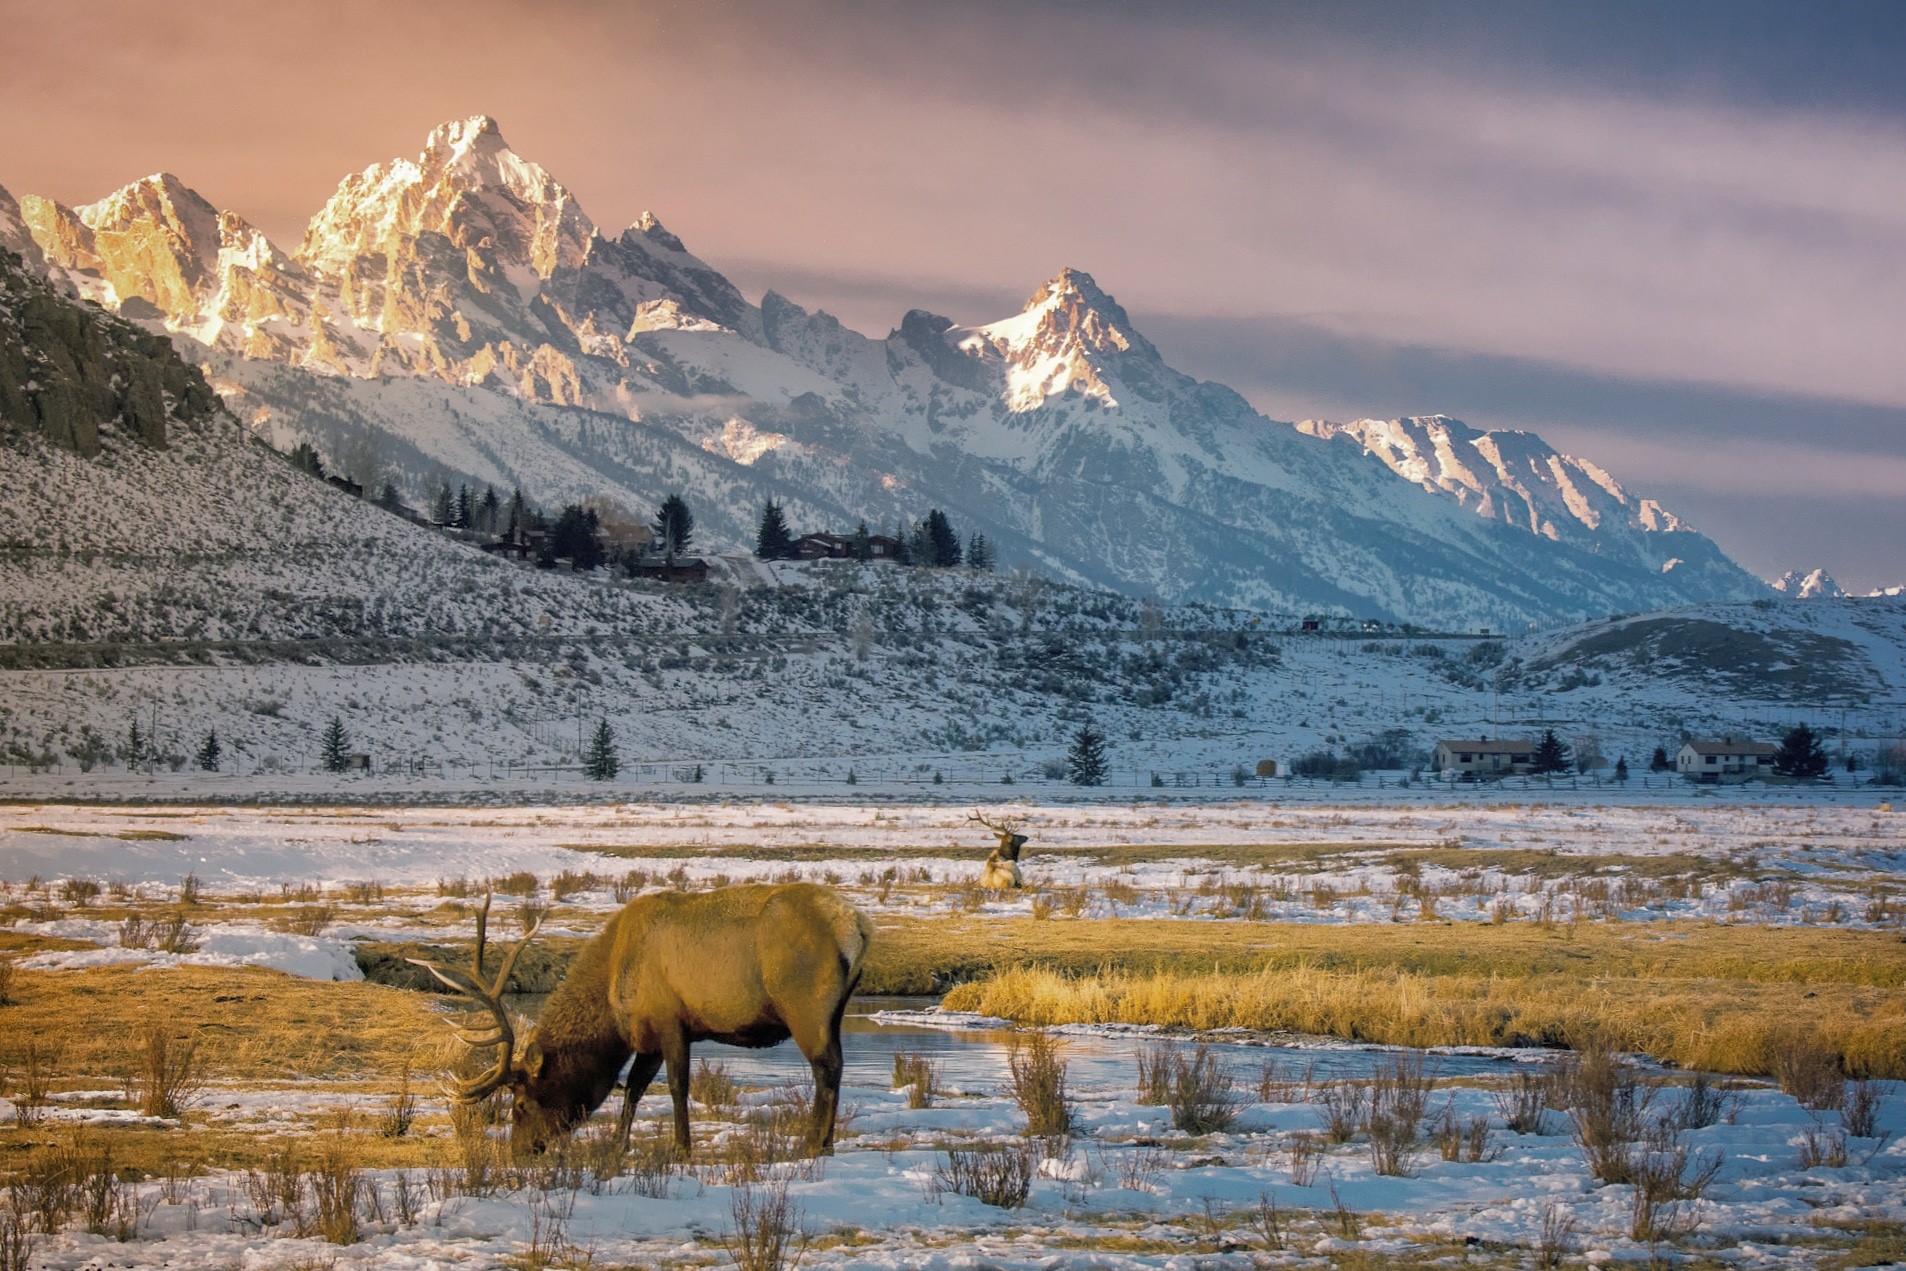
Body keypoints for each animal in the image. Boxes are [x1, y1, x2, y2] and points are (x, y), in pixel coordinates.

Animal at [409, 883, 873, 1158]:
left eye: (521, 1103)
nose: (519, 1153)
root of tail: (858, 927)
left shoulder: (671, 1020)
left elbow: (678, 1086)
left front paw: (681, 1149)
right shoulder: (647, 1036)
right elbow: (632, 1088)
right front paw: (618, 1146)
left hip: (804, 1005)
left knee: (825, 1069)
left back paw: (814, 1144)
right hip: (835, 1010)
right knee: (836, 1067)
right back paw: (825, 1143)